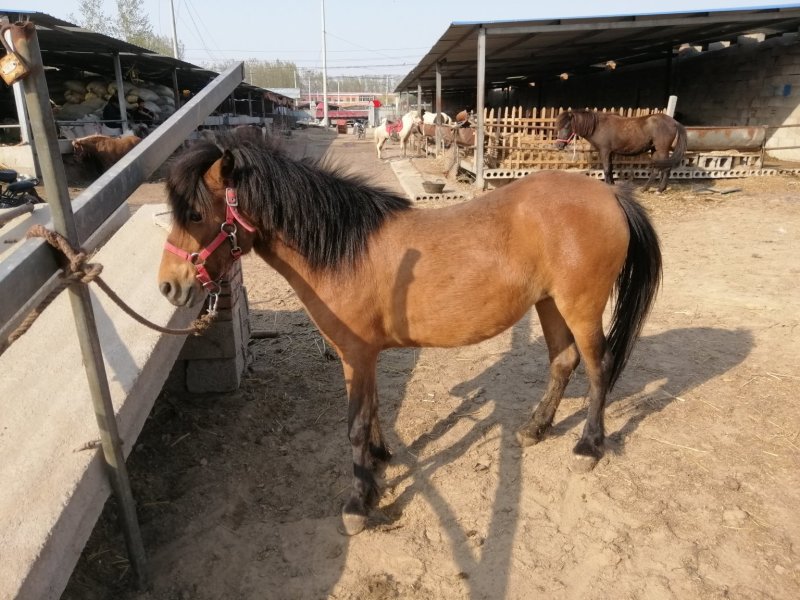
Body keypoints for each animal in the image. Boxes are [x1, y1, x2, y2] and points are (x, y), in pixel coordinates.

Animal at [157, 134, 662, 536]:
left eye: (196, 214)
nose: (169, 286)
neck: (345, 249)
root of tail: (609, 194)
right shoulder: (361, 356)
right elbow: (374, 408)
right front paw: (380, 460)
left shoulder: (357, 353)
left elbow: (356, 423)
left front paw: (359, 501)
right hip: (551, 305)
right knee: (563, 361)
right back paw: (535, 428)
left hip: (581, 306)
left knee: (598, 368)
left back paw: (589, 445)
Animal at [554, 109, 687, 192]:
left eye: (567, 126)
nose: (558, 145)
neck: (598, 126)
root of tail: (674, 122)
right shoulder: (610, 152)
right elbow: (611, 168)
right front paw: (613, 184)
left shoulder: (605, 151)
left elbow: (606, 170)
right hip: (655, 149)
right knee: (658, 169)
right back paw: (648, 189)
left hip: (662, 149)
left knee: (666, 168)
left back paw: (659, 190)